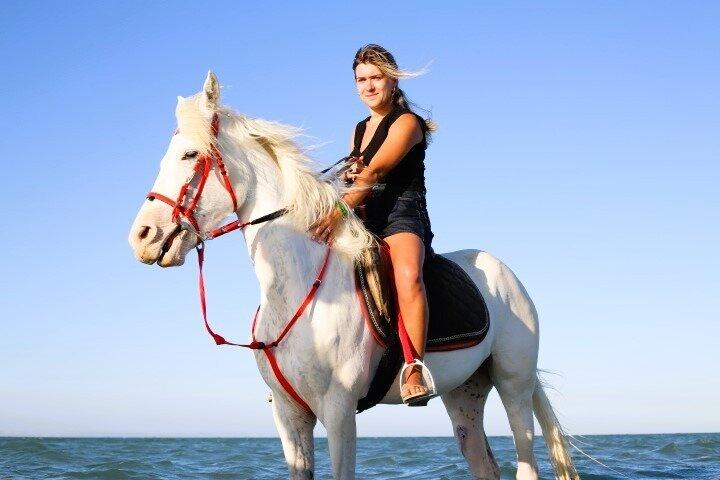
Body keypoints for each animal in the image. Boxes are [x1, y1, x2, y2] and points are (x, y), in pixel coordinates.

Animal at [128, 71, 579, 480]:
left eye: (190, 155)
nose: (142, 236)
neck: (298, 285)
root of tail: (507, 276)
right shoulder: (290, 416)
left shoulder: (339, 410)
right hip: (463, 392)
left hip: (513, 383)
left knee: (526, 458)